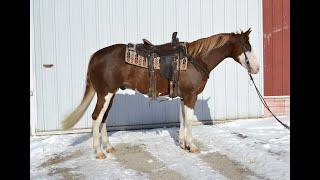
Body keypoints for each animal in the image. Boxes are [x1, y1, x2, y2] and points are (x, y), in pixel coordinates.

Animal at [60, 28, 260, 159]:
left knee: (103, 119)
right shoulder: (191, 96)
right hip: (105, 94)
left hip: (111, 95)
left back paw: (108, 147)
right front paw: (193, 146)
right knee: (96, 117)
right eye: (247, 46)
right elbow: (189, 121)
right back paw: (99, 151)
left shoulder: (183, 97)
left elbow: (182, 120)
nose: (256, 68)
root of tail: (95, 56)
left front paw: (183, 144)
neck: (196, 59)